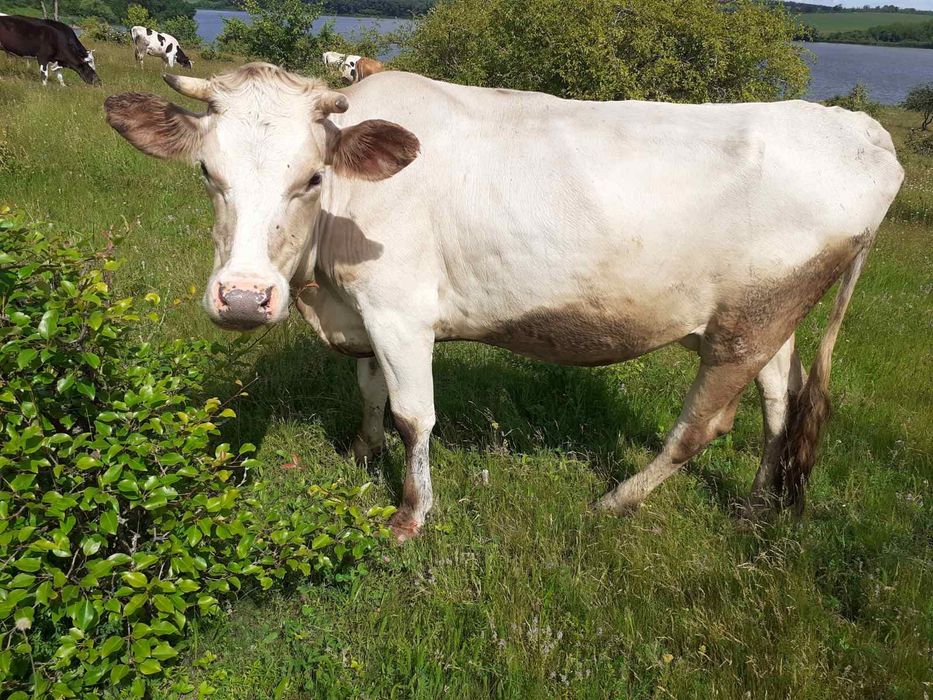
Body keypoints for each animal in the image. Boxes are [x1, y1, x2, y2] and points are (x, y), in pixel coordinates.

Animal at [104, 63, 904, 543]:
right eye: (207, 173)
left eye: (309, 178)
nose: (243, 298)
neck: (318, 280)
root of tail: (860, 131)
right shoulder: (358, 312)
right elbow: (367, 388)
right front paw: (360, 449)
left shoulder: (400, 309)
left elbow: (413, 415)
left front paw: (410, 514)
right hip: (767, 313)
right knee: (778, 401)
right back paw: (755, 503)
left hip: (747, 326)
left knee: (706, 423)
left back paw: (618, 500)